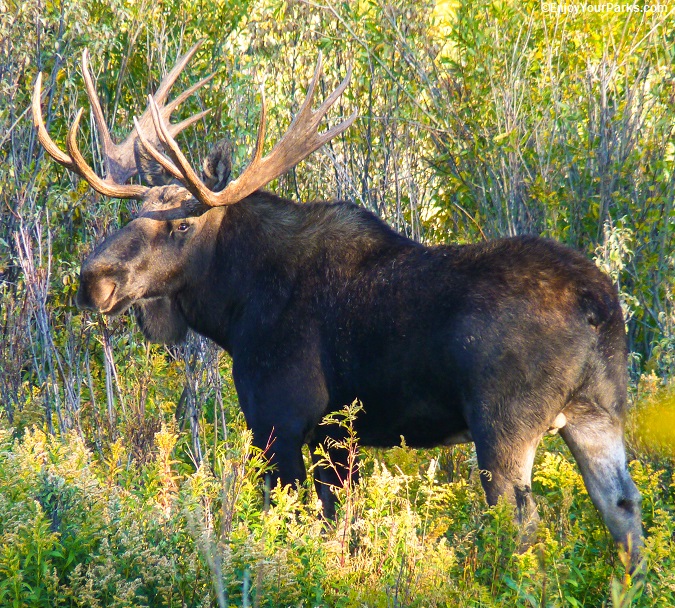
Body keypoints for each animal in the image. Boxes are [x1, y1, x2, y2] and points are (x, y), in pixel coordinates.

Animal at [33, 41, 644, 564]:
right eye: (132, 214)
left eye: (181, 224)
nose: (93, 279)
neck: (235, 310)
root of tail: (598, 304)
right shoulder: (336, 434)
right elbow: (340, 527)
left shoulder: (279, 419)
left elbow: (295, 524)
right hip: (597, 413)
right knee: (626, 513)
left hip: (504, 424)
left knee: (521, 525)